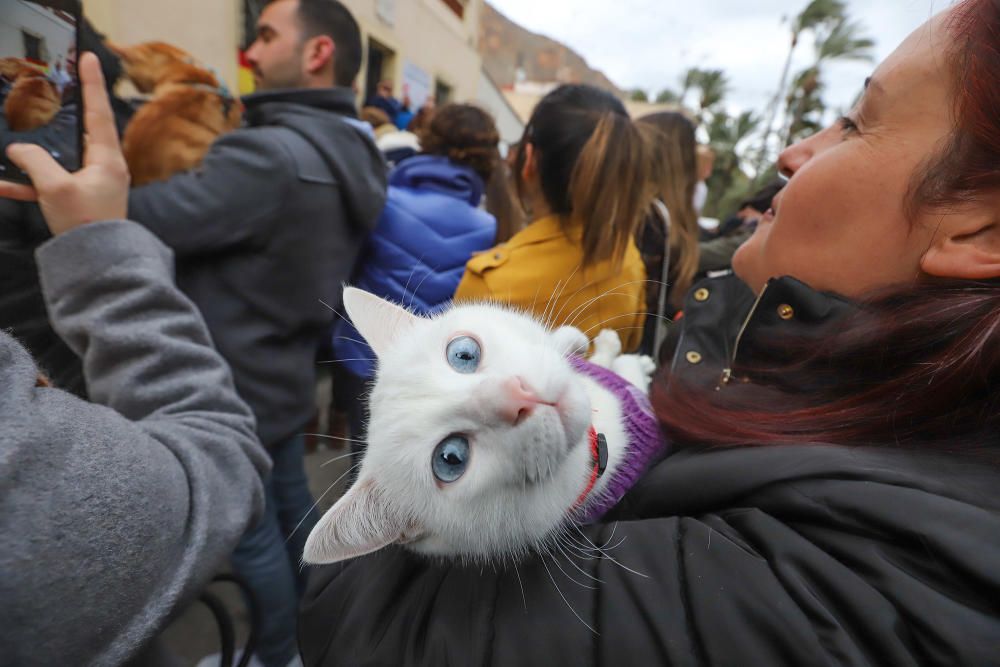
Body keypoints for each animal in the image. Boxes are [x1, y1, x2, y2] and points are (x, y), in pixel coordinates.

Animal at [304, 290, 664, 568]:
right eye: (450, 458)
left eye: (463, 354)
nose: (516, 396)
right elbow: (633, 377)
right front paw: (634, 364)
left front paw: (583, 344)